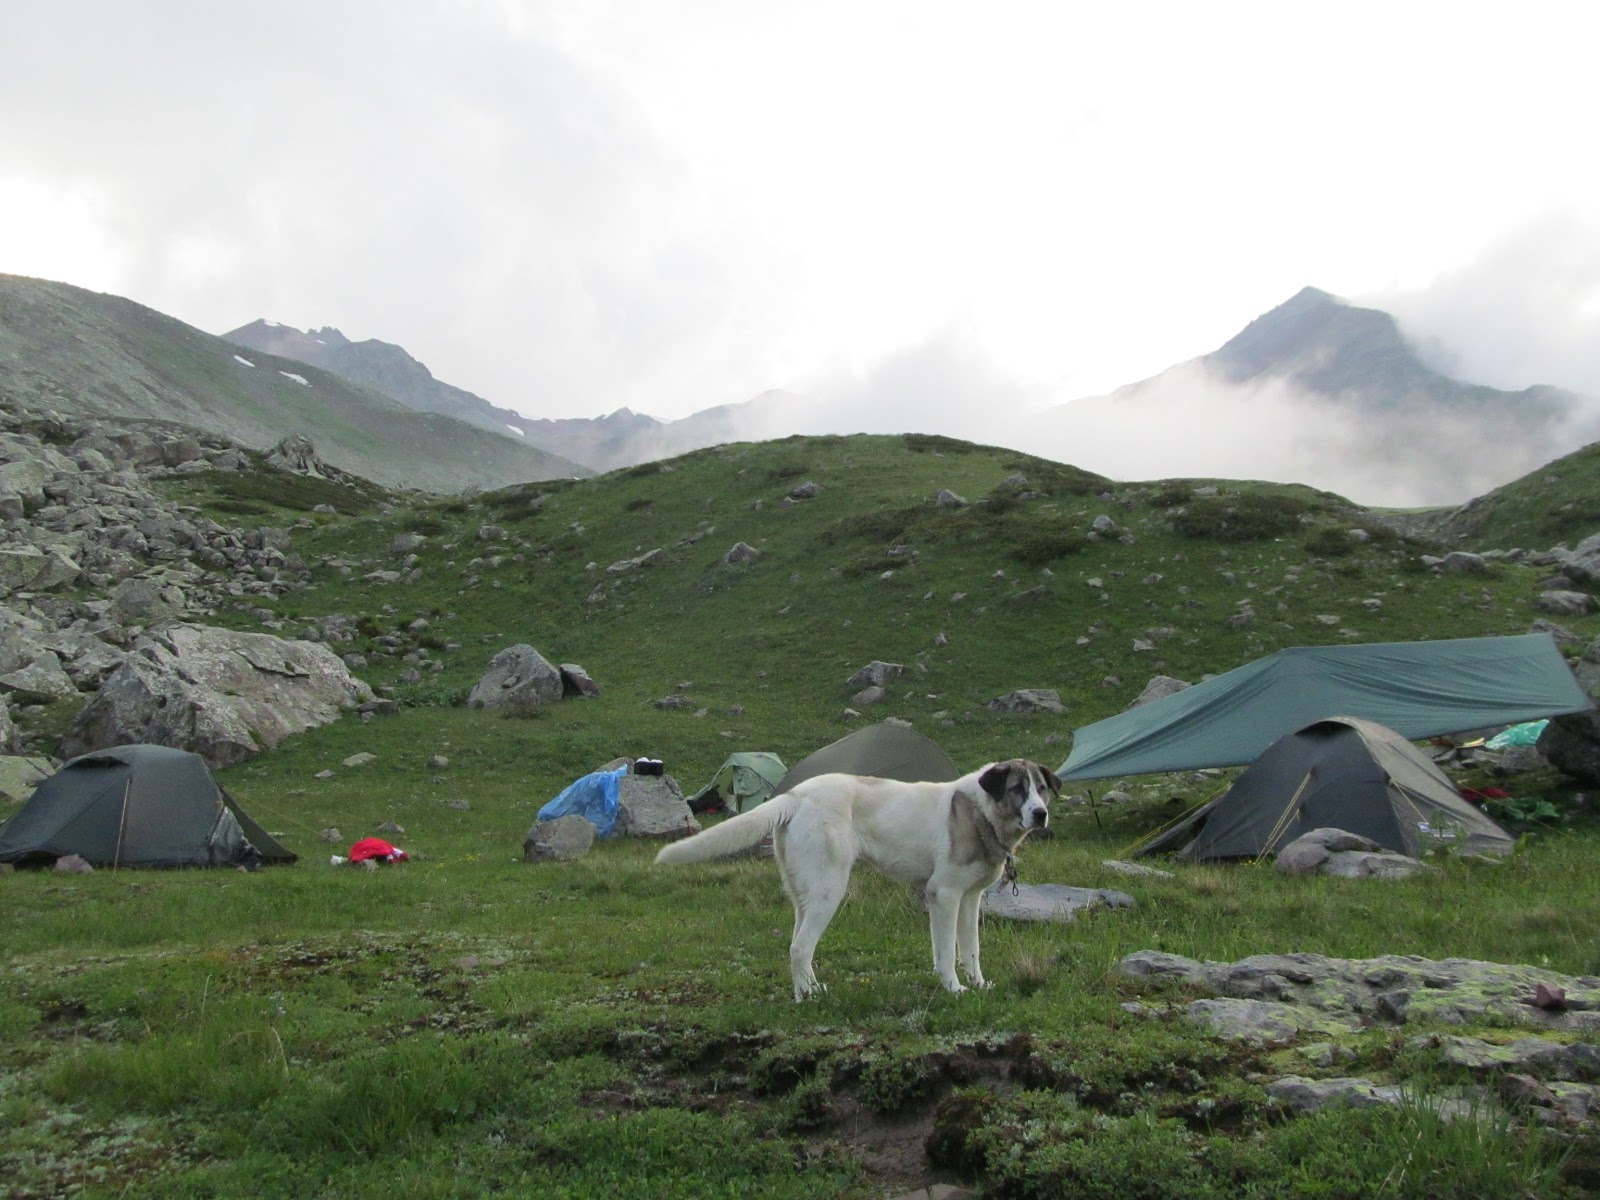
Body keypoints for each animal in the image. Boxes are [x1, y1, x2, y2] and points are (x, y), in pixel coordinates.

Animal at [656, 764, 1056, 998]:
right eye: (1017, 788)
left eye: (1041, 788)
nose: (1041, 814)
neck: (981, 811)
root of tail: (795, 795)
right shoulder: (943, 896)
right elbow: (946, 952)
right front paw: (954, 989)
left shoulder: (969, 899)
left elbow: (971, 949)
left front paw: (979, 984)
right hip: (828, 890)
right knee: (800, 947)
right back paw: (811, 998)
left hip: (806, 894)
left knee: (797, 944)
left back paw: (808, 992)